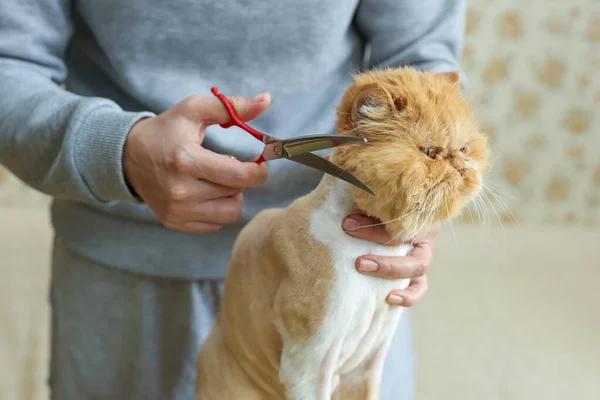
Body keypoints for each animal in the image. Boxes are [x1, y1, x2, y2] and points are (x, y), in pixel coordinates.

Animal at [195, 67, 490, 398]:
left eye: (463, 148)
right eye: (429, 152)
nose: (462, 167)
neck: (373, 251)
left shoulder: (367, 365)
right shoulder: (308, 366)